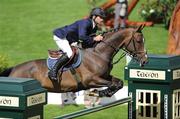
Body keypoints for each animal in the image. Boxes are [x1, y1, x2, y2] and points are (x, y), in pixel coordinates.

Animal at [0, 24, 148, 97]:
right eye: (139, 41)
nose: (145, 60)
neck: (99, 54)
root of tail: (13, 70)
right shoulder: (90, 80)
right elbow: (112, 84)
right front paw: (100, 92)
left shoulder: (105, 76)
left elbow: (118, 83)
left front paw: (104, 93)